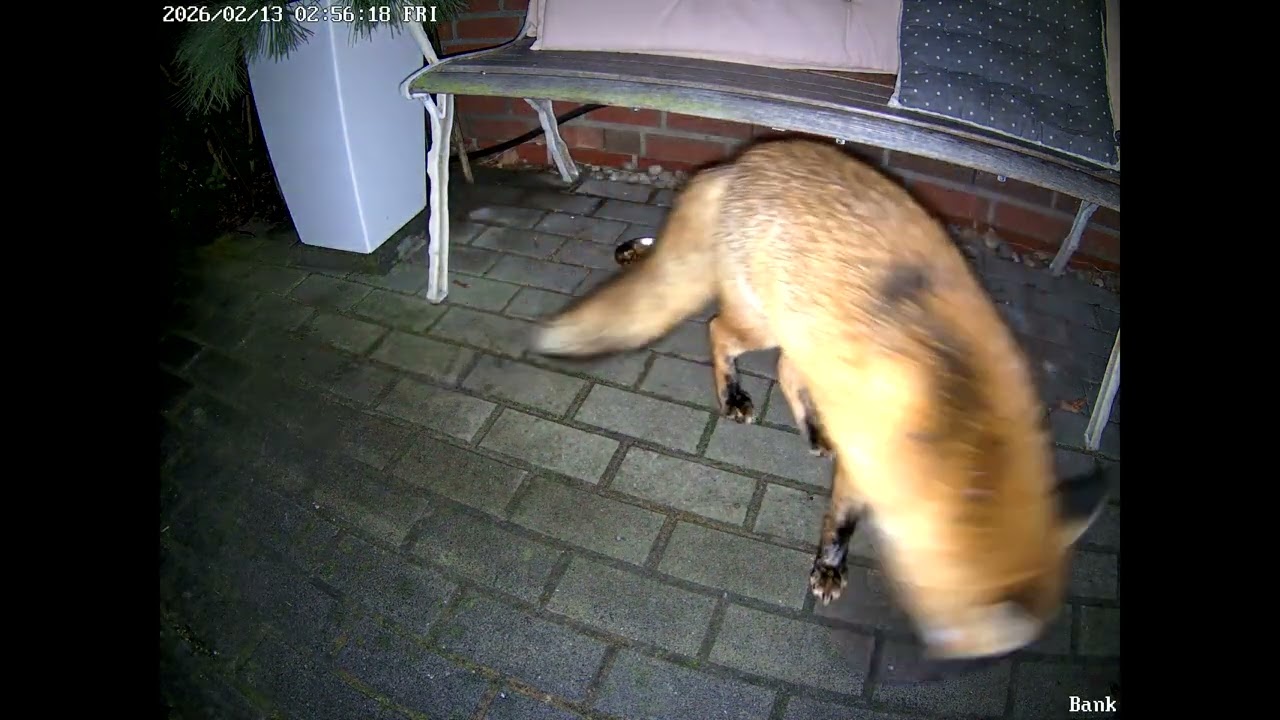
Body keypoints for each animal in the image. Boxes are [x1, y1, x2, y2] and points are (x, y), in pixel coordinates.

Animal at [526, 138, 1112, 667]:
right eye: (964, 641)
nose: (931, 662)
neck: (960, 419)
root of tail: (740, 162)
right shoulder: (869, 461)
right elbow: (842, 523)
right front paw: (829, 568)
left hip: (808, 337)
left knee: (787, 371)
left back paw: (812, 429)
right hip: (761, 324)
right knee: (718, 332)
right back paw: (733, 395)